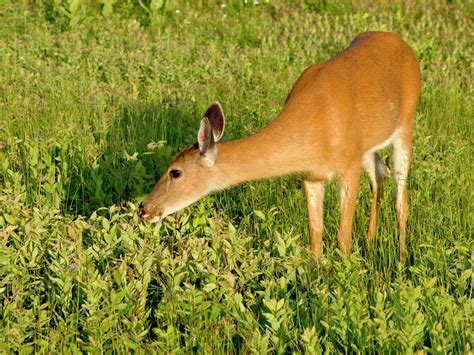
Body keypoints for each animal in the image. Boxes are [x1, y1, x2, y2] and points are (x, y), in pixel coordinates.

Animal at [139, 32, 420, 262]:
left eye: (175, 172)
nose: (144, 208)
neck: (315, 129)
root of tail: (404, 45)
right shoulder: (311, 175)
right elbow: (315, 233)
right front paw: (315, 278)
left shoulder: (348, 165)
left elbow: (343, 237)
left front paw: (344, 277)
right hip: (370, 147)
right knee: (379, 177)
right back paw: (371, 242)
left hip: (405, 126)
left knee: (401, 200)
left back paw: (401, 257)